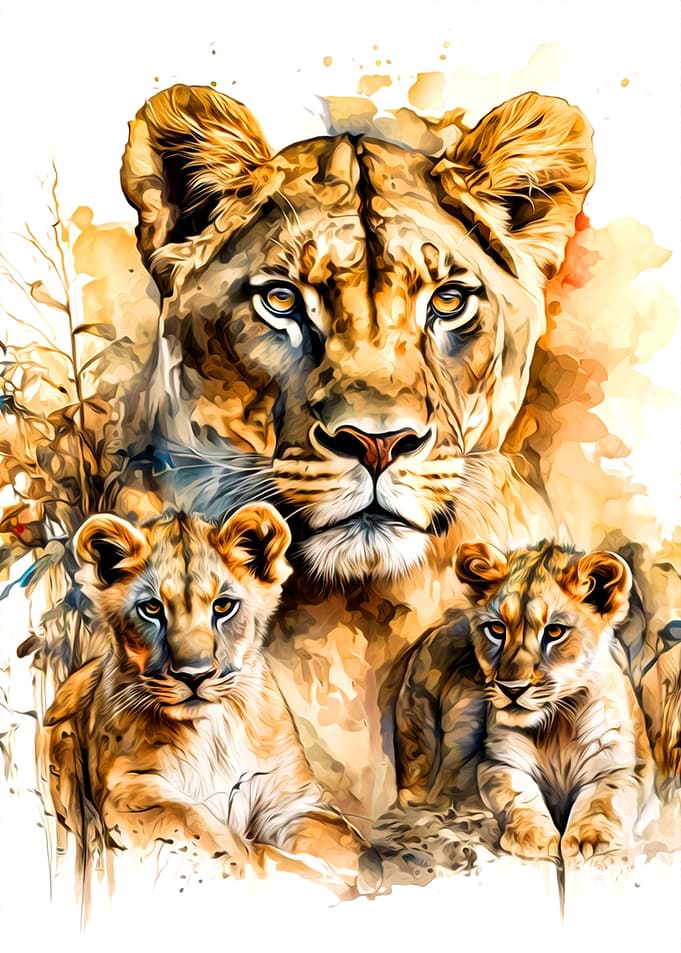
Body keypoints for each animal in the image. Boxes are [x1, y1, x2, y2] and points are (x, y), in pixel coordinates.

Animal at [43, 503, 382, 899]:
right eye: (152, 609)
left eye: (223, 606)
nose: (194, 675)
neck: (212, 732)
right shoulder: (127, 789)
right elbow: (215, 838)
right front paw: (305, 876)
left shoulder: (293, 798)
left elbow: (341, 842)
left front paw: (360, 869)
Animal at [395, 540, 654, 866]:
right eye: (496, 629)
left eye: (554, 632)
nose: (511, 689)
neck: (556, 727)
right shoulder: (498, 762)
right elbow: (518, 794)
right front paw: (534, 837)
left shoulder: (623, 766)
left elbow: (604, 798)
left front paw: (590, 840)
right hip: (419, 733)